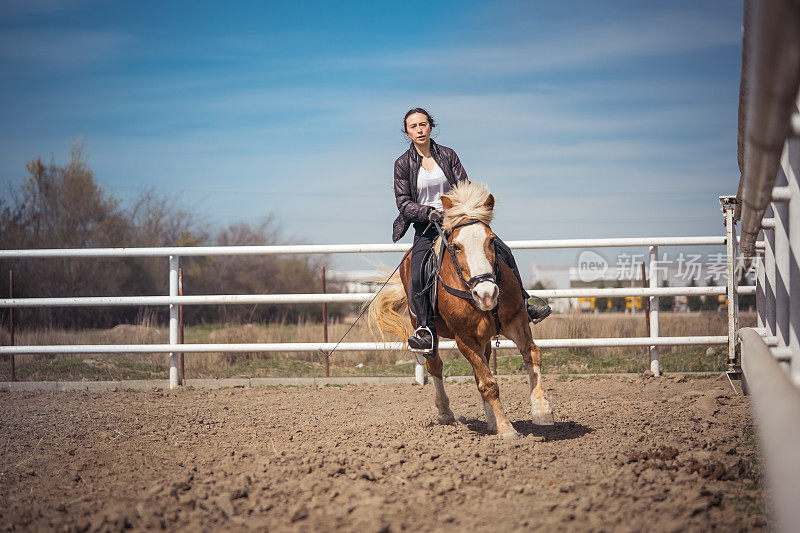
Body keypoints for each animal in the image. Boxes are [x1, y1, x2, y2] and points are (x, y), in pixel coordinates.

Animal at [368, 181, 552, 438]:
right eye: (456, 246)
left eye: (491, 240)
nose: (487, 294)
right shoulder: (464, 338)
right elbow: (488, 383)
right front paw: (506, 428)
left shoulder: (517, 321)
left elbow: (531, 355)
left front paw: (540, 410)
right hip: (425, 330)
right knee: (435, 366)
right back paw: (446, 414)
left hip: (484, 338)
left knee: (482, 366)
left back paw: (490, 420)